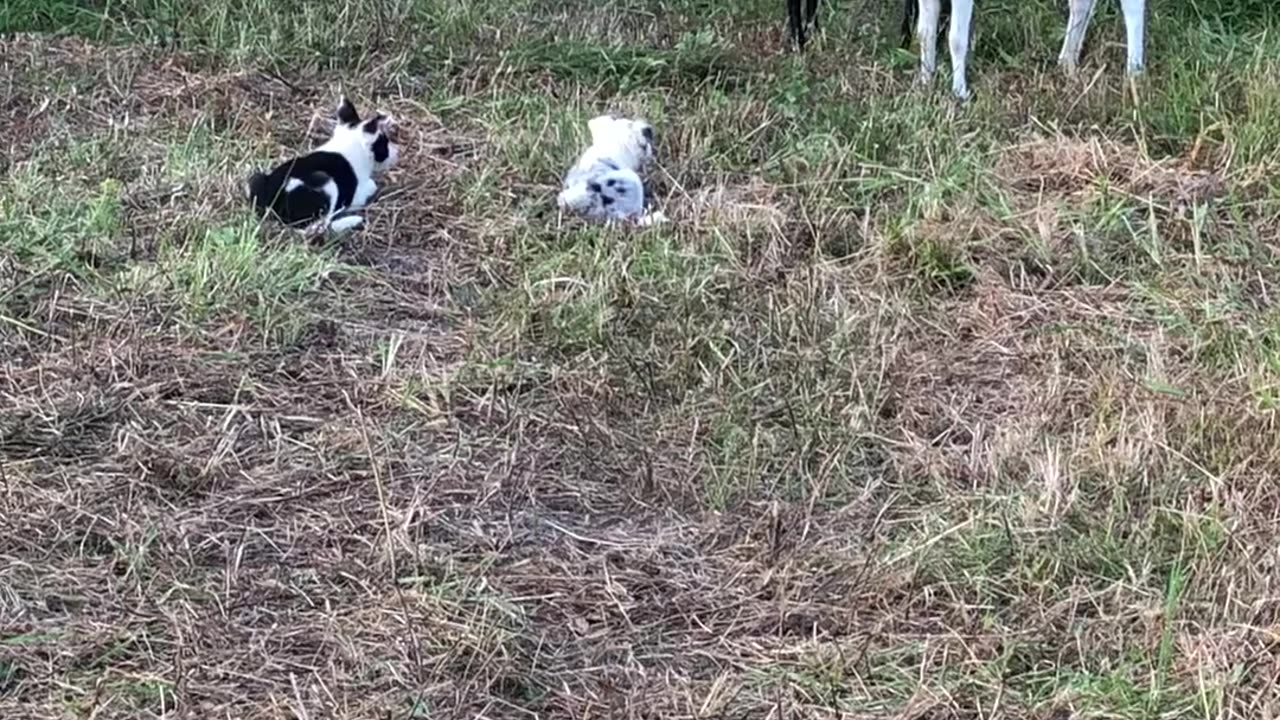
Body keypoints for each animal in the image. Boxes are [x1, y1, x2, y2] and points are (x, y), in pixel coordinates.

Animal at [244, 96, 394, 233]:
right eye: (384, 143)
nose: (395, 153)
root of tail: (274, 204)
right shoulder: (358, 194)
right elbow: (372, 185)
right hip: (326, 183)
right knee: (319, 226)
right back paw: (351, 220)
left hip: (256, 179)